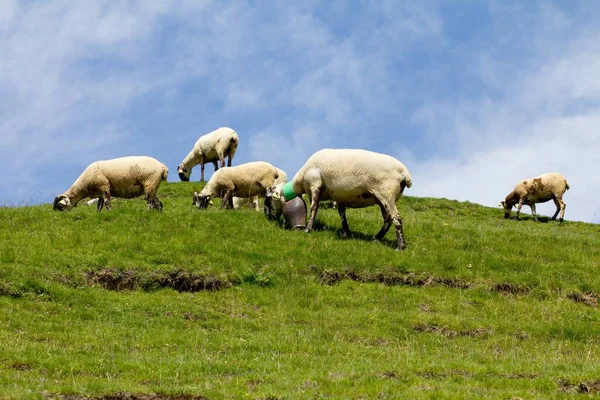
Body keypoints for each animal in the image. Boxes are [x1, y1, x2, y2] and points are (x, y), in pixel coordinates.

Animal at [266, 148, 412, 252]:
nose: (268, 217)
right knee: (387, 219)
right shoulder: (340, 195)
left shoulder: (315, 184)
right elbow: (342, 214)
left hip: (387, 193)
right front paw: (345, 233)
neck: (300, 182)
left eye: (268, 199)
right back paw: (376, 238)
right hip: (381, 198)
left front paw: (308, 229)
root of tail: (405, 175)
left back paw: (400, 246)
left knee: (396, 218)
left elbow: (314, 208)